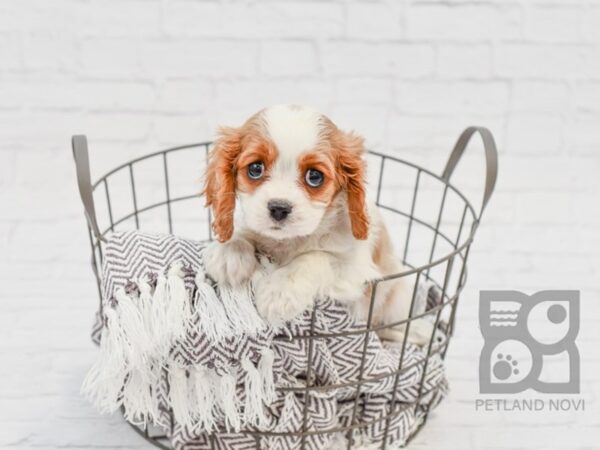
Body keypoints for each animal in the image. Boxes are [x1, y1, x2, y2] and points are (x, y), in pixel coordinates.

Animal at [204, 104, 434, 344]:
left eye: (314, 176)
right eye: (255, 168)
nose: (279, 208)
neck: (289, 242)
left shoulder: (356, 271)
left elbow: (315, 257)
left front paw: (280, 289)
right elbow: (243, 230)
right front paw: (228, 252)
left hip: (396, 300)